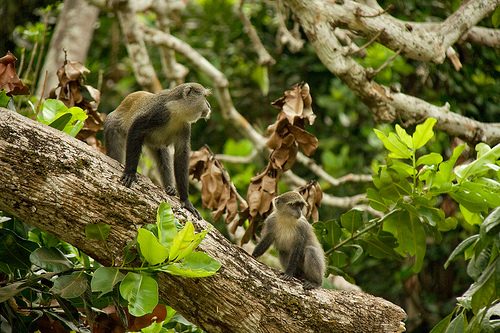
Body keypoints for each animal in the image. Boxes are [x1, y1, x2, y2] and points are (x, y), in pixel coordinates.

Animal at [104, 82, 210, 219]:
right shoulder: (159, 112)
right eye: (204, 97)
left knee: (163, 156)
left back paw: (170, 188)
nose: (209, 105)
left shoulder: (185, 127)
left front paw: (185, 200)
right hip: (113, 125)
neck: (177, 110)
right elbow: (136, 130)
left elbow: (181, 155)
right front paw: (130, 173)